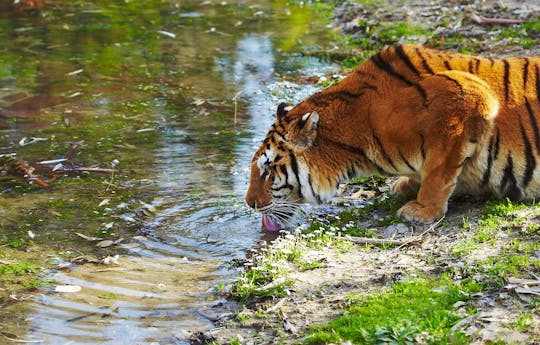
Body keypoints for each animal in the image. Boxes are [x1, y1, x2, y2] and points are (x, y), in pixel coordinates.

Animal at [245, 44, 540, 230]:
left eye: (267, 170)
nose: (250, 204)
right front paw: (407, 185)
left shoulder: (469, 95)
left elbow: (439, 171)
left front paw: (423, 209)